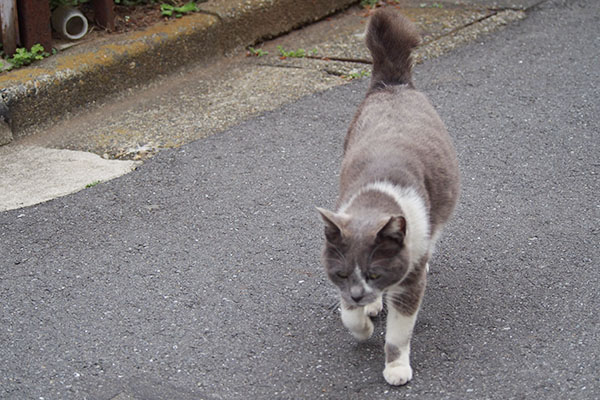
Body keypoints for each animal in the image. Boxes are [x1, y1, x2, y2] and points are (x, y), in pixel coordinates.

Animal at [318, 8, 460, 384]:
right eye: (341, 274)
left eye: (375, 273)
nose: (358, 293)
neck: (376, 199)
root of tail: (392, 84)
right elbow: (347, 314)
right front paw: (362, 324)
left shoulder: (409, 281)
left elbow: (399, 331)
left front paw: (396, 368)